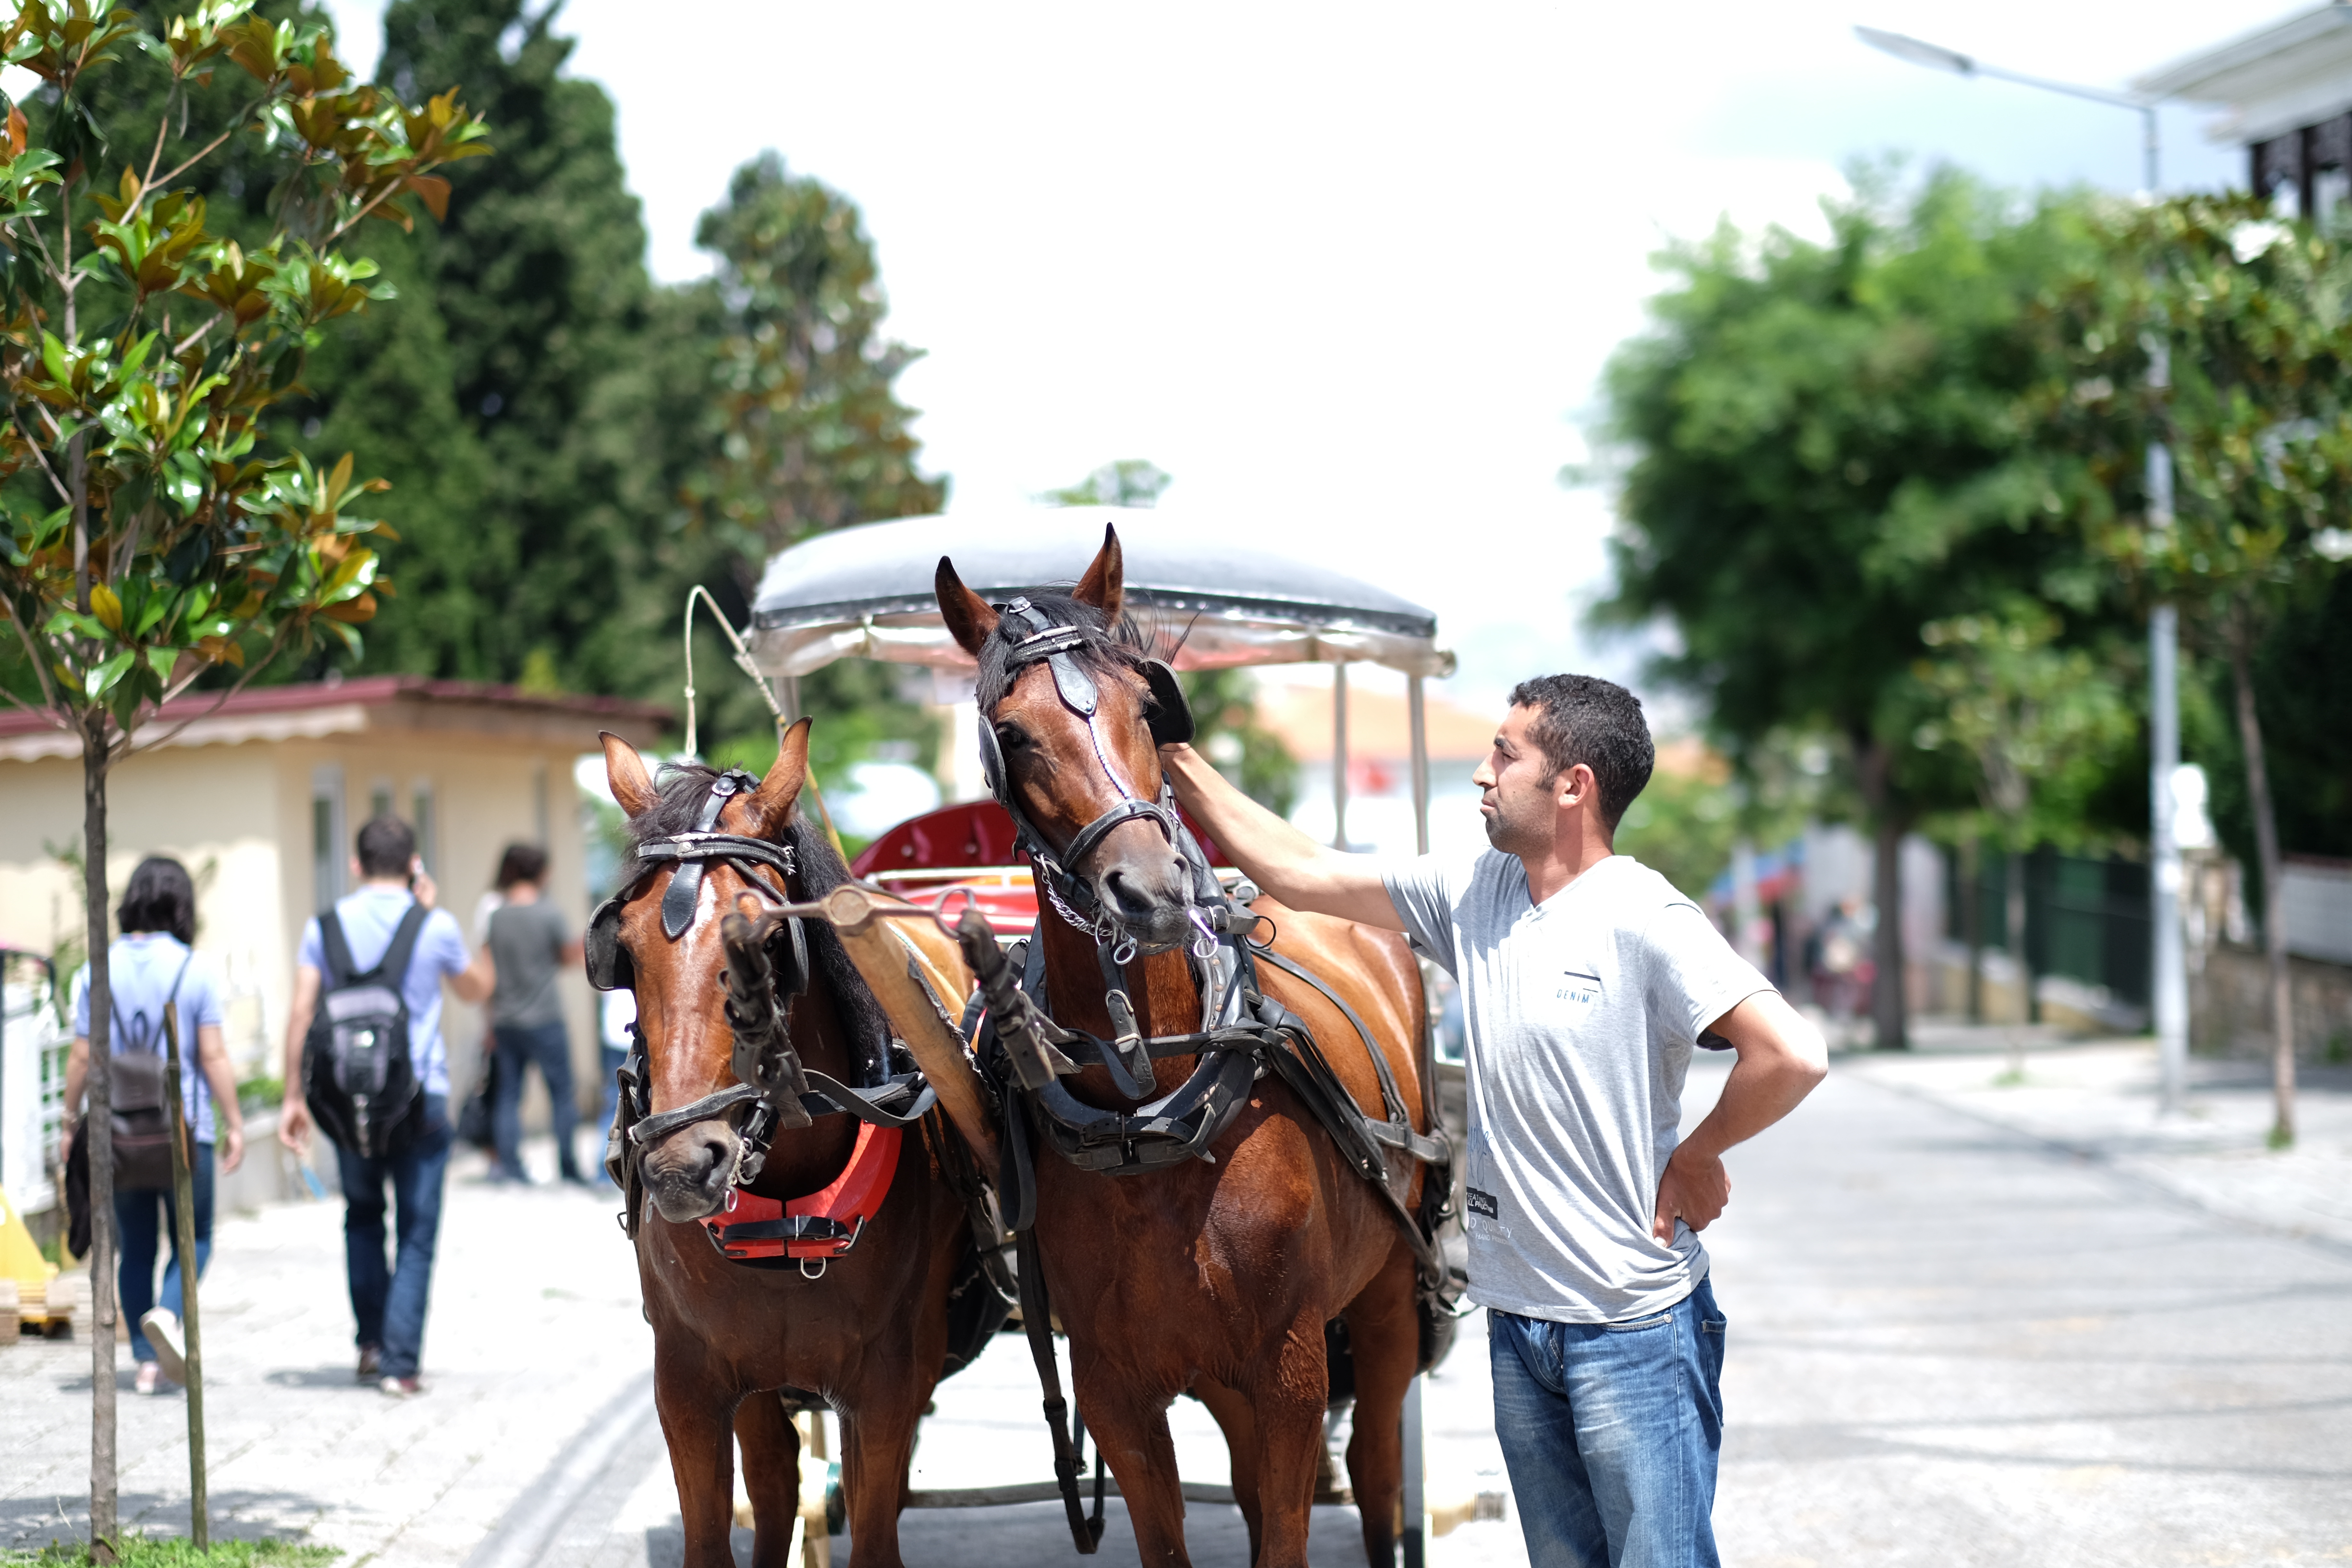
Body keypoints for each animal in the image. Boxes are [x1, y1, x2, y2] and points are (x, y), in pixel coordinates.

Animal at [607, 729, 983, 1568]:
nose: (683, 1167)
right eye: (624, 949)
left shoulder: (886, 1386)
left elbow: (875, 1531)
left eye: (774, 939)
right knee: (778, 1485)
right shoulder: (689, 1382)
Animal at [931, 533, 1439, 1561]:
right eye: (1013, 734)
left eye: (1146, 705)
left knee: (1375, 1467)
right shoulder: (1117, 1389)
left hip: (1385, 1291)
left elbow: (1288, 1525)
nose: (1153, 890)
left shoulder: (1289, 1374)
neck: (1154, 1110)